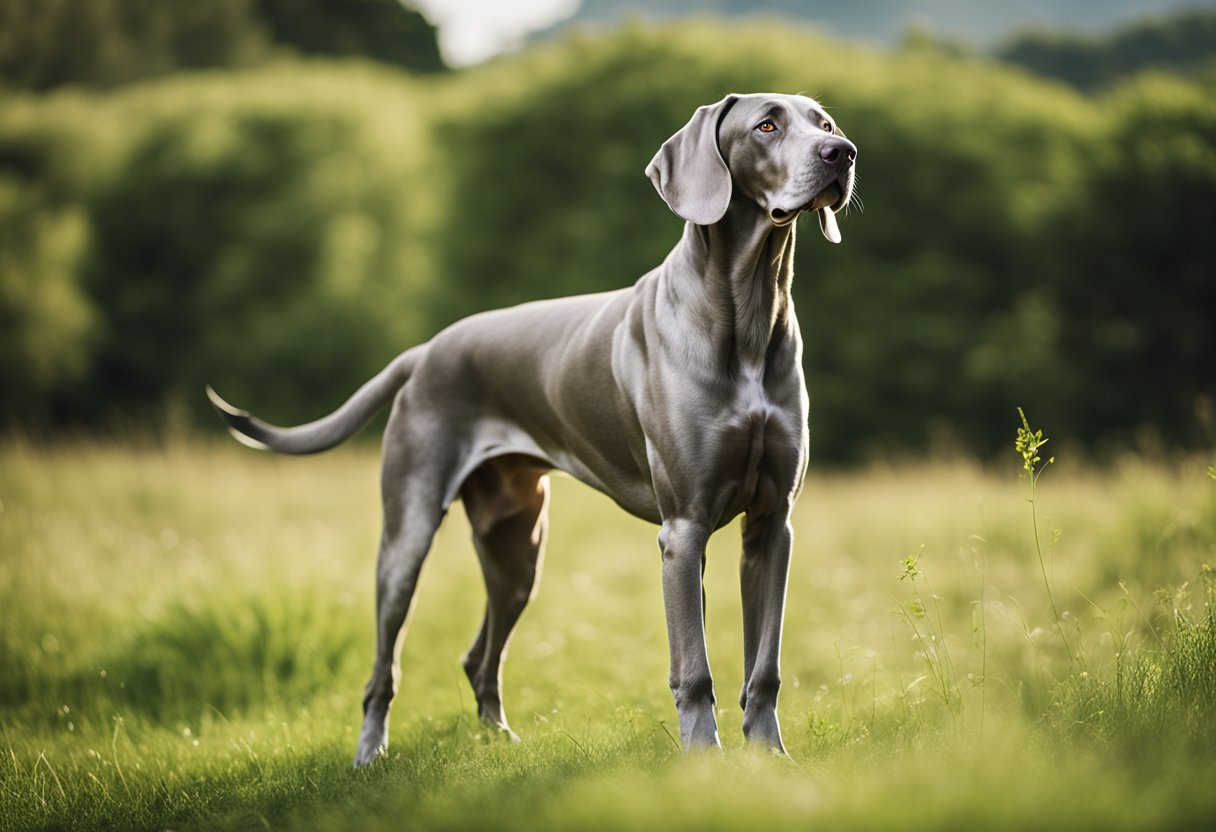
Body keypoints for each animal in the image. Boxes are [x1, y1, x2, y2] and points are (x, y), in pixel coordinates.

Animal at [206, 94, 856, 763]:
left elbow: (764, 665)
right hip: (406, 539)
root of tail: (427, 350)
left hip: (518, 548)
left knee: (479, 657)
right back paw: (370, 755)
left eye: (824, 123)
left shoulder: (771, 525)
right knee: (383, 668)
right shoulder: (684, 529)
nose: (844, 153)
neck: (749, 312)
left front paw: (769, 758)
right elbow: (694, 668)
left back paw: (499, 739)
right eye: (767, 124)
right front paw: (704, 761)